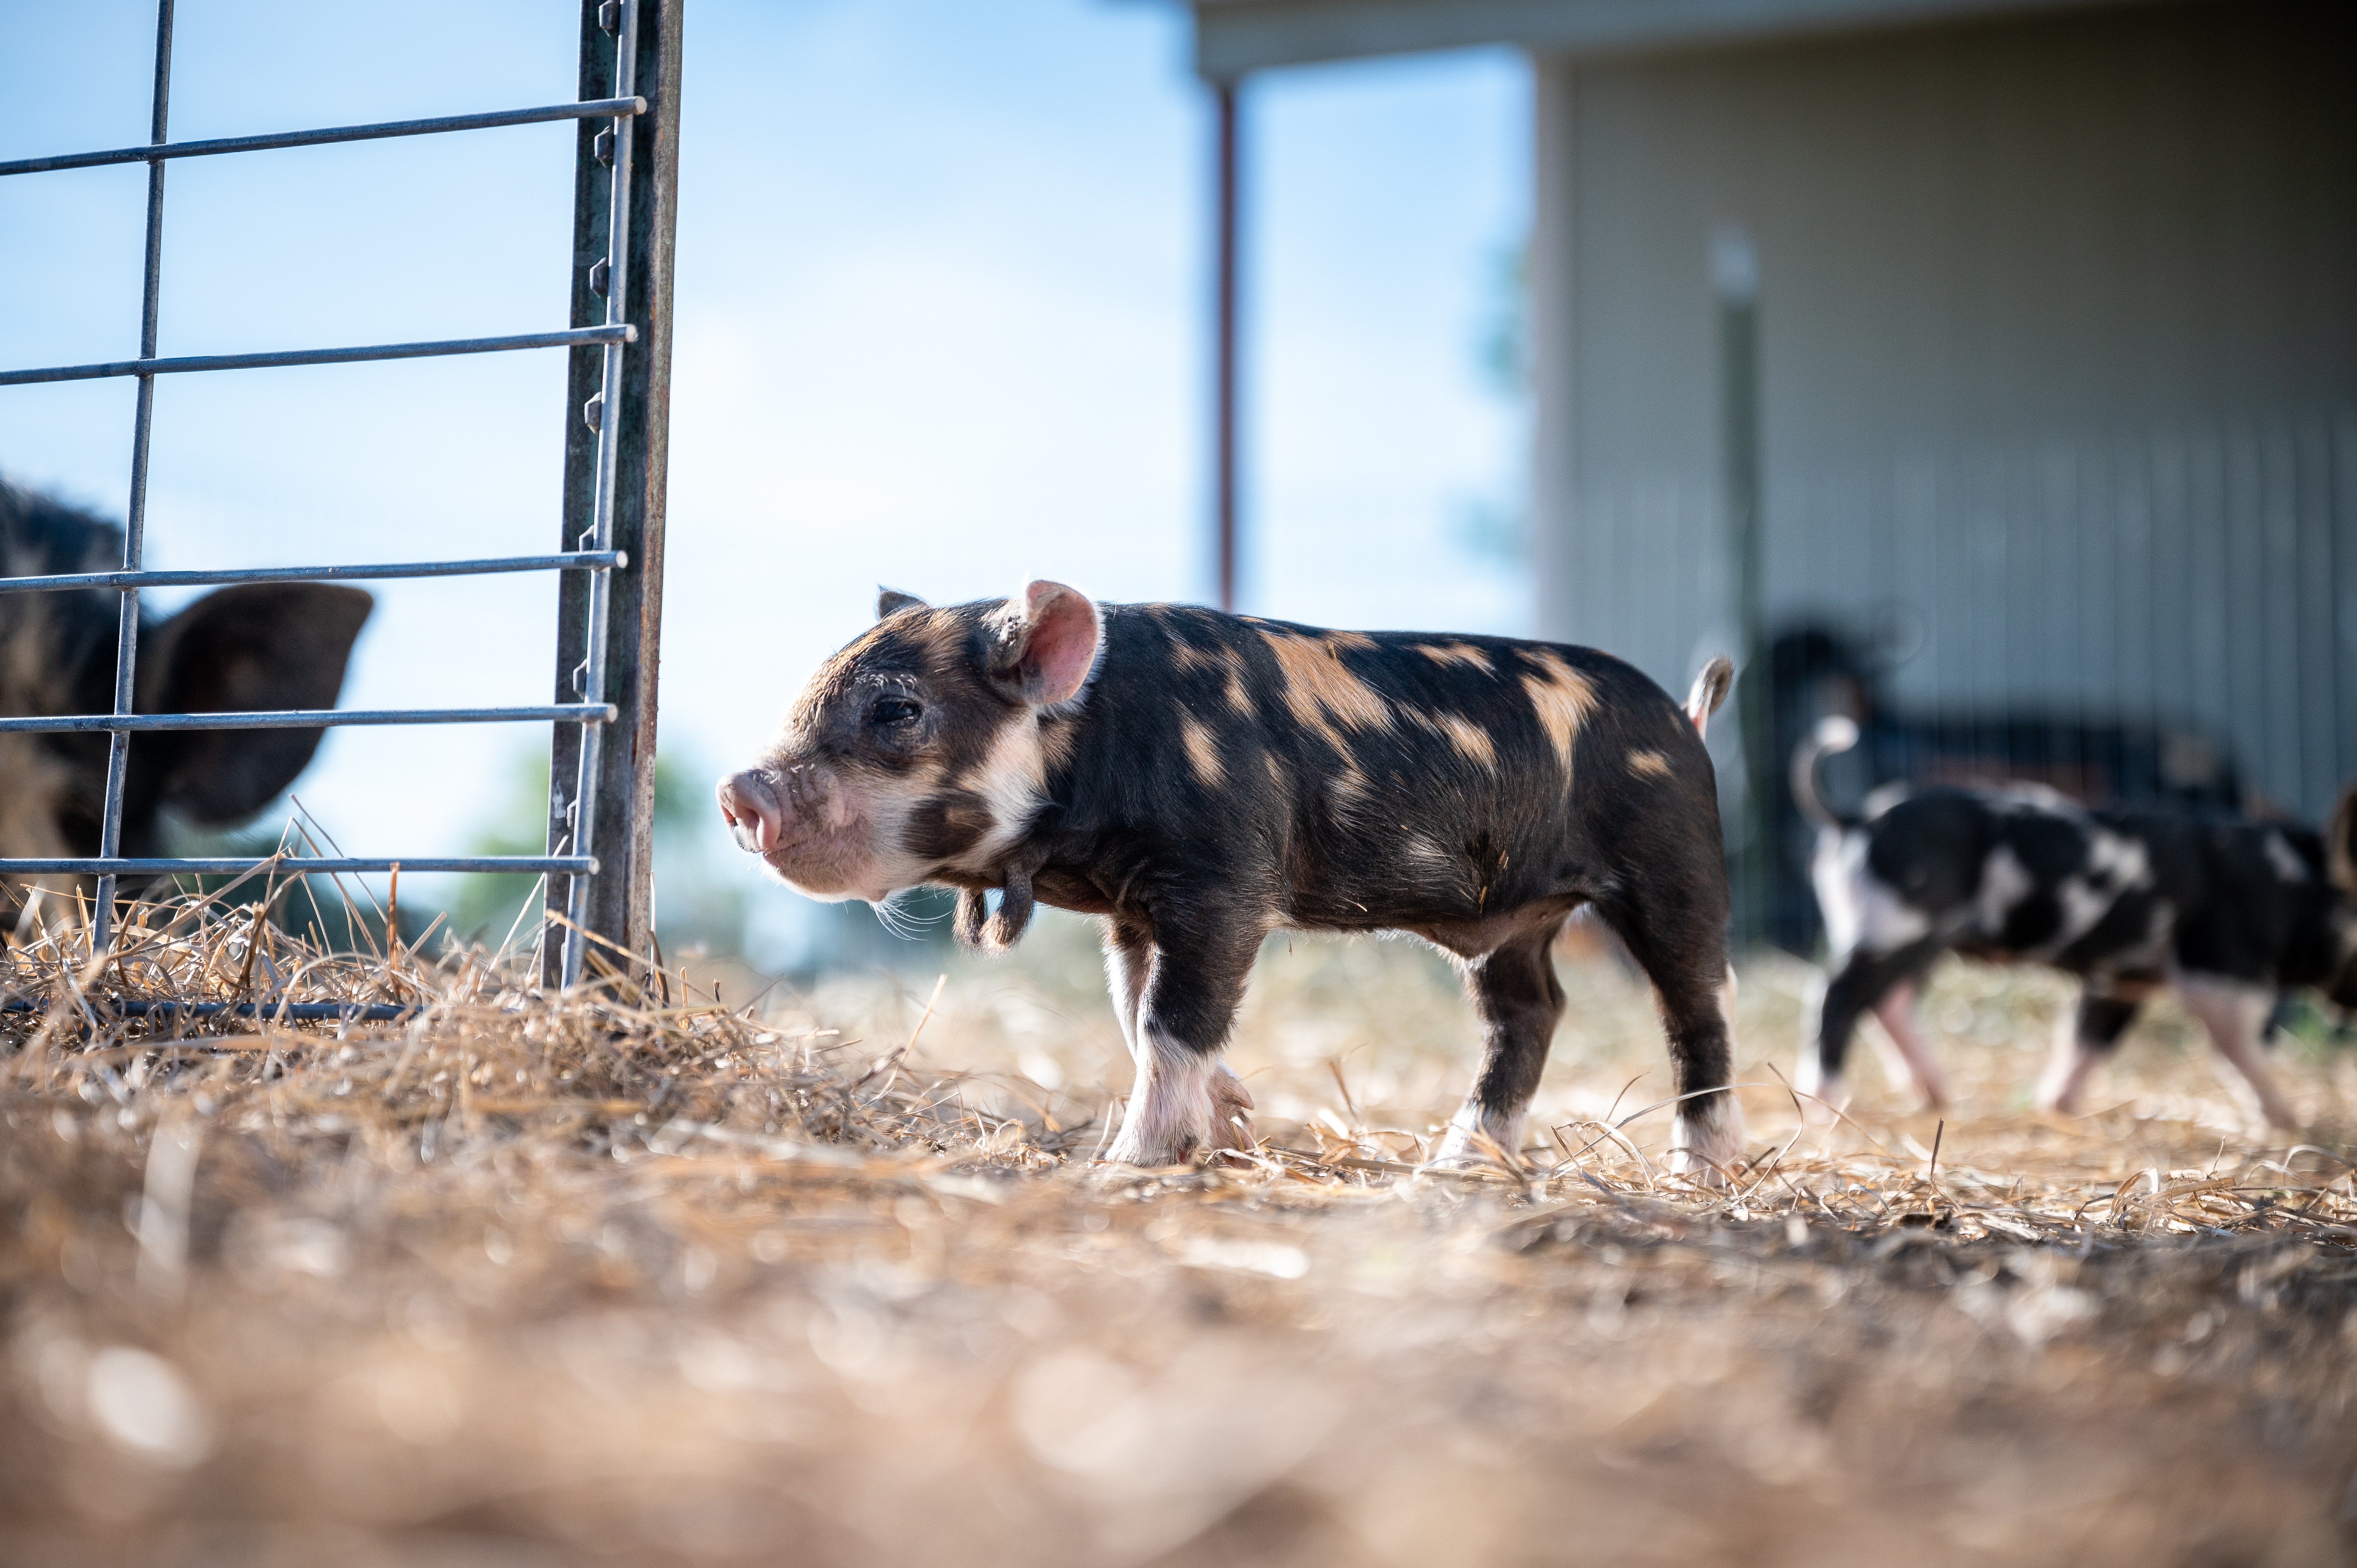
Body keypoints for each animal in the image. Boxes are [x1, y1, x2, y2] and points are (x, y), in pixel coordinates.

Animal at [726, 580, 1744, 1169]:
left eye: (898, 711)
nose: (742, 789)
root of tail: (1687, 719)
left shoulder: (1225, 879)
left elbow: (1173, 1022)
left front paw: (1128, 1164)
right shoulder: (1133, 911)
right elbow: (1135, 1013)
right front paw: (1232, 1125)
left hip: (1674, 864)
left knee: (1697, 1007)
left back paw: (1701, 1171)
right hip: (1516, 922)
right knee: (1530, 1012)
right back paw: (1454, 1169)